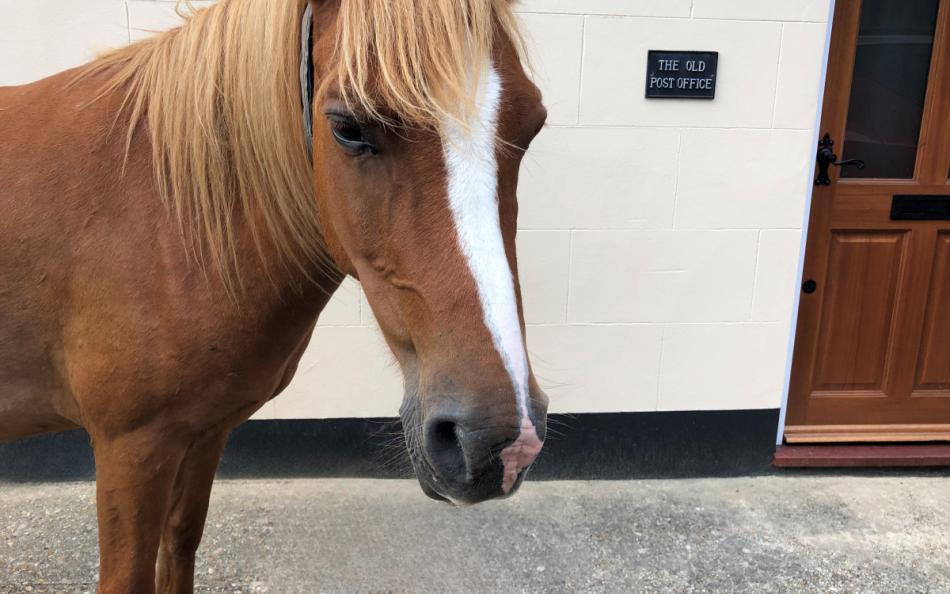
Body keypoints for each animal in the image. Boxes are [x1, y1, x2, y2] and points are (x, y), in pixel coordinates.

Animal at [0, 0, 549, 591]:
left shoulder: (203, 432)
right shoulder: (132, 447)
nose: (501, 440)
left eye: (533, 126)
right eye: (347, 128)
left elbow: (181, 543)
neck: (169, 214)